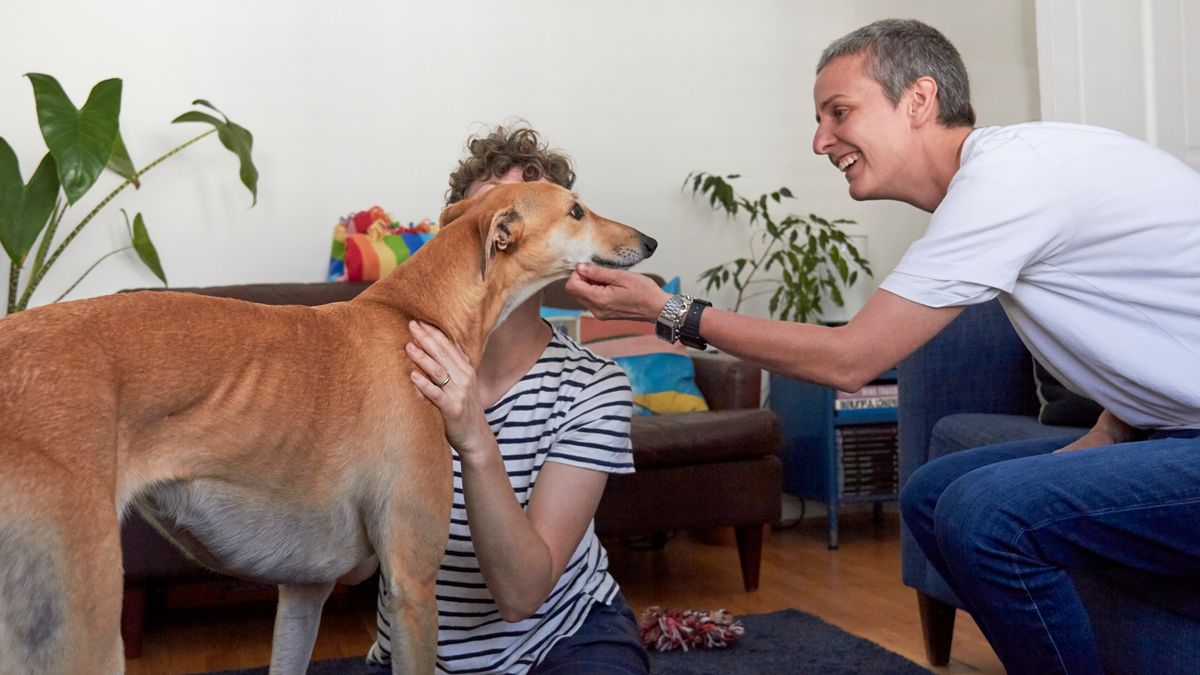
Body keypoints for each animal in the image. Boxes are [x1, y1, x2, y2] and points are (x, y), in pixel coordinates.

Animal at [0, 181, 657, 667]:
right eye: (576, 209)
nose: (650, 241)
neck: (414, 314)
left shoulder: (303, 589)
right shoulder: (412, 585)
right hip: (78, 624)